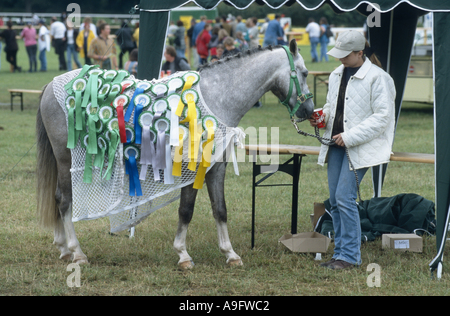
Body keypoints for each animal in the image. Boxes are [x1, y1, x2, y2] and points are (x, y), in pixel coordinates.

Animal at [35, 38, 312, 268]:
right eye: (305, 73)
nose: (308, 110)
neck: (214, 98)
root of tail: (50, 86)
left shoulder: (216, 168)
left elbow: (220, 209)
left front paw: (230, 254)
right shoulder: (191, 169)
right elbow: (186, 210)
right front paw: (183, 255)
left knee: (57, 199)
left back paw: (64, 249)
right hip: (66, 160)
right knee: (64, 200)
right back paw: (77, 252)